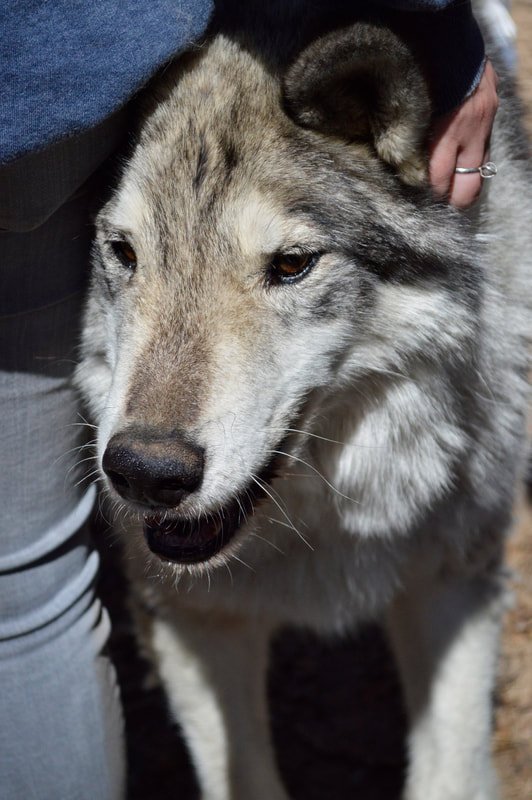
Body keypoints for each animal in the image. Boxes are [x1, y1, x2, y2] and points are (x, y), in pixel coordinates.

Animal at [76, 2, 531, 798]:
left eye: (292, 265)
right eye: (124, 253)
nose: (145, 472)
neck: (319, 522)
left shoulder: (453, 581)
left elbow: (449, 774)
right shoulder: (195, 617)